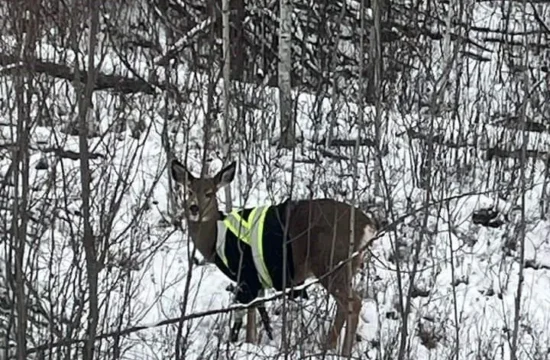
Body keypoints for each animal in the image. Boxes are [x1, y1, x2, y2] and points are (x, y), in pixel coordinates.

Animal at [170, 159, 386, 356]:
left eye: (210, 193)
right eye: (189, 191)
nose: (194, 208)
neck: (215, 238)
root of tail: (368, 226)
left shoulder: (246, 273)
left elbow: (249, 311)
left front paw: (249, 344)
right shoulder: (256, 278)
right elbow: (257, 310)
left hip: (331, 263)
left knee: (353, 302)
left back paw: (338, 351)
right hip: (345, 267)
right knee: (346, 305)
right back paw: (333, 348)